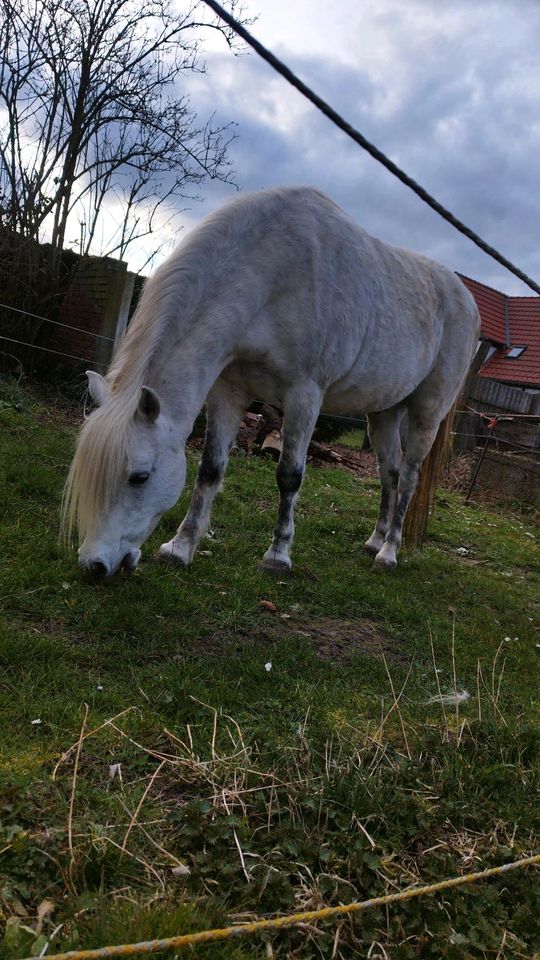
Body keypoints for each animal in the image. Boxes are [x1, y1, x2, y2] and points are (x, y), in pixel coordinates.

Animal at [61, 187, 478, 576]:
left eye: (139, 477)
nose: (95, 566)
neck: (274, 274)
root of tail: (468, 302)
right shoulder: (228, 391)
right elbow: (211, 468)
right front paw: (180, 548)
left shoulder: (304, 397)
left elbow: (289, 475)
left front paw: (277, 556)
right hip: (384, 414)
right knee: (389, 474)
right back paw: (374, 541)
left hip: (425, 415)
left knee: (407, 478)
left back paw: (389, 553)